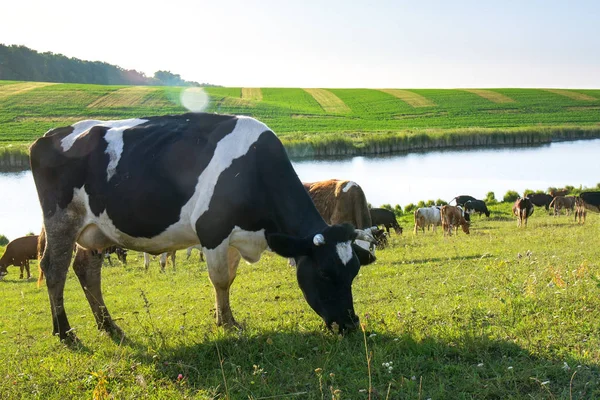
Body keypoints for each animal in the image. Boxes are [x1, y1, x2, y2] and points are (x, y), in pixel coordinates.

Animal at [30, 113, 376, 344]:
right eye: (324, 274)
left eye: (353, 273)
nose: (350, 324)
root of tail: (50, 134)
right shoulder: (212, 230)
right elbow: (220, 280)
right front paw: (226, 324)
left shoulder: (234, 236)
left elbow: (230, 279)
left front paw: (228, 319)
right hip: (61, 219)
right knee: (54, 269)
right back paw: (66, 333)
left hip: (95, 230)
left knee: (86, 270)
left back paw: (109, 326)